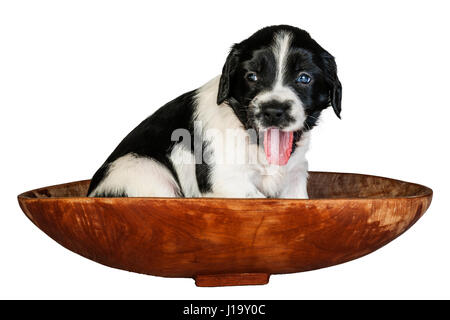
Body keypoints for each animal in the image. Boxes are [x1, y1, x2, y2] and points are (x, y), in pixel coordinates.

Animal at [87, 25, 342, 198]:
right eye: (252, 76)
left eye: (304, 78)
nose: (273, 111)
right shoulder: (226, 181)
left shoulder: (295, 177)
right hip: (145, 172)